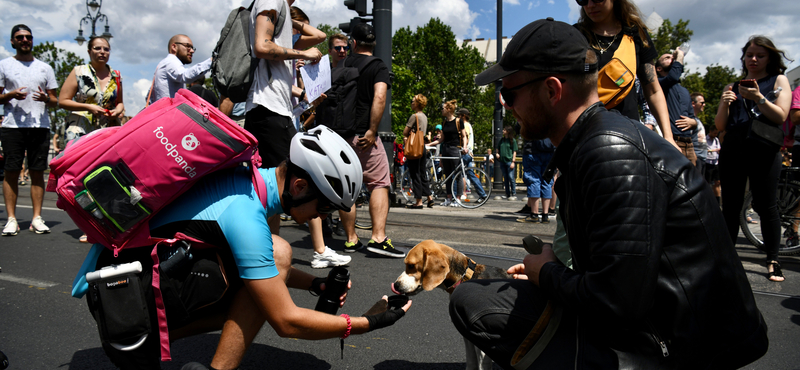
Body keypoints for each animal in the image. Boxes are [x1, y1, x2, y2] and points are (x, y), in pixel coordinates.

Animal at [390, 240, 510, 370]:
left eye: (411, 265)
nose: (396, 285)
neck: (466, 277)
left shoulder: (483, 348)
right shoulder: (469, 338)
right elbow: (471, 362)